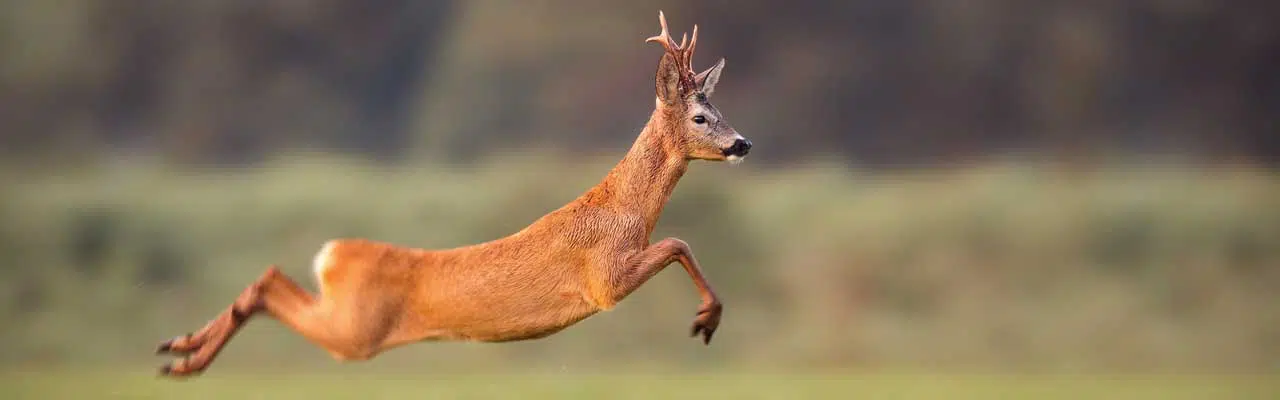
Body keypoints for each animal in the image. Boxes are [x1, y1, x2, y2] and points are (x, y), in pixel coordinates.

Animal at [154, 10, 747, 376]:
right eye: (700, 117)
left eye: (720, 109)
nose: (742, 142)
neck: (624, 211)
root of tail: (332, 255)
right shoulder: (605, 280)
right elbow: (678, 243)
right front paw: (706, 319)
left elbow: (679, 244)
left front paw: (708, 317)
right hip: (354, 331)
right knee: (270, 282)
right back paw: (185, 358)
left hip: (346, 321)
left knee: (269, 279)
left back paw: (179, 351)